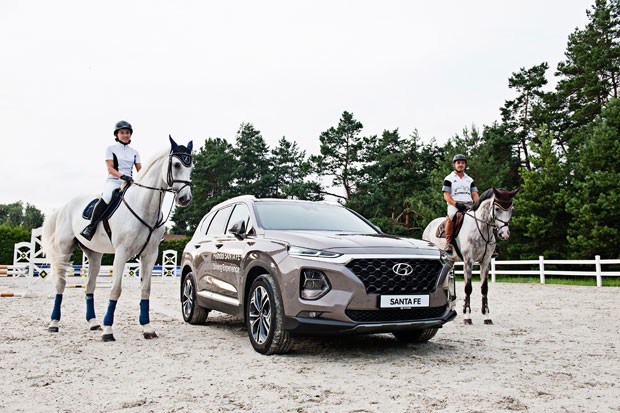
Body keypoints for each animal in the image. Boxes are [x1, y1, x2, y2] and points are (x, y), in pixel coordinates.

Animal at [42, 136, 194, 341]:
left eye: (191, 166)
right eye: (176, 165)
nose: (185, 198)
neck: (144, 206)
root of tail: (64, 206)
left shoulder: (150, 254)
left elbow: (146, 289)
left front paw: (147, 328)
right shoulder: (122, 252)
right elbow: (116, 289)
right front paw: (108, 330)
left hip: (94, 254)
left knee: (90, 286)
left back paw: (93, 322)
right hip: (64, 249)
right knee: (61, 284)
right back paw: (54, 323)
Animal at [423, 187, 519, 325]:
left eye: (511, 209)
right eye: (497, 209)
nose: (504, 234)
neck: (481, 229)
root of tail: (430, 225)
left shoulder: (485, 262)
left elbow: (484, 288)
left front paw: (487, 316)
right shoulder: (468, 261)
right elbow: (468, 288)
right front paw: (467, 316)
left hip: (450, 261)